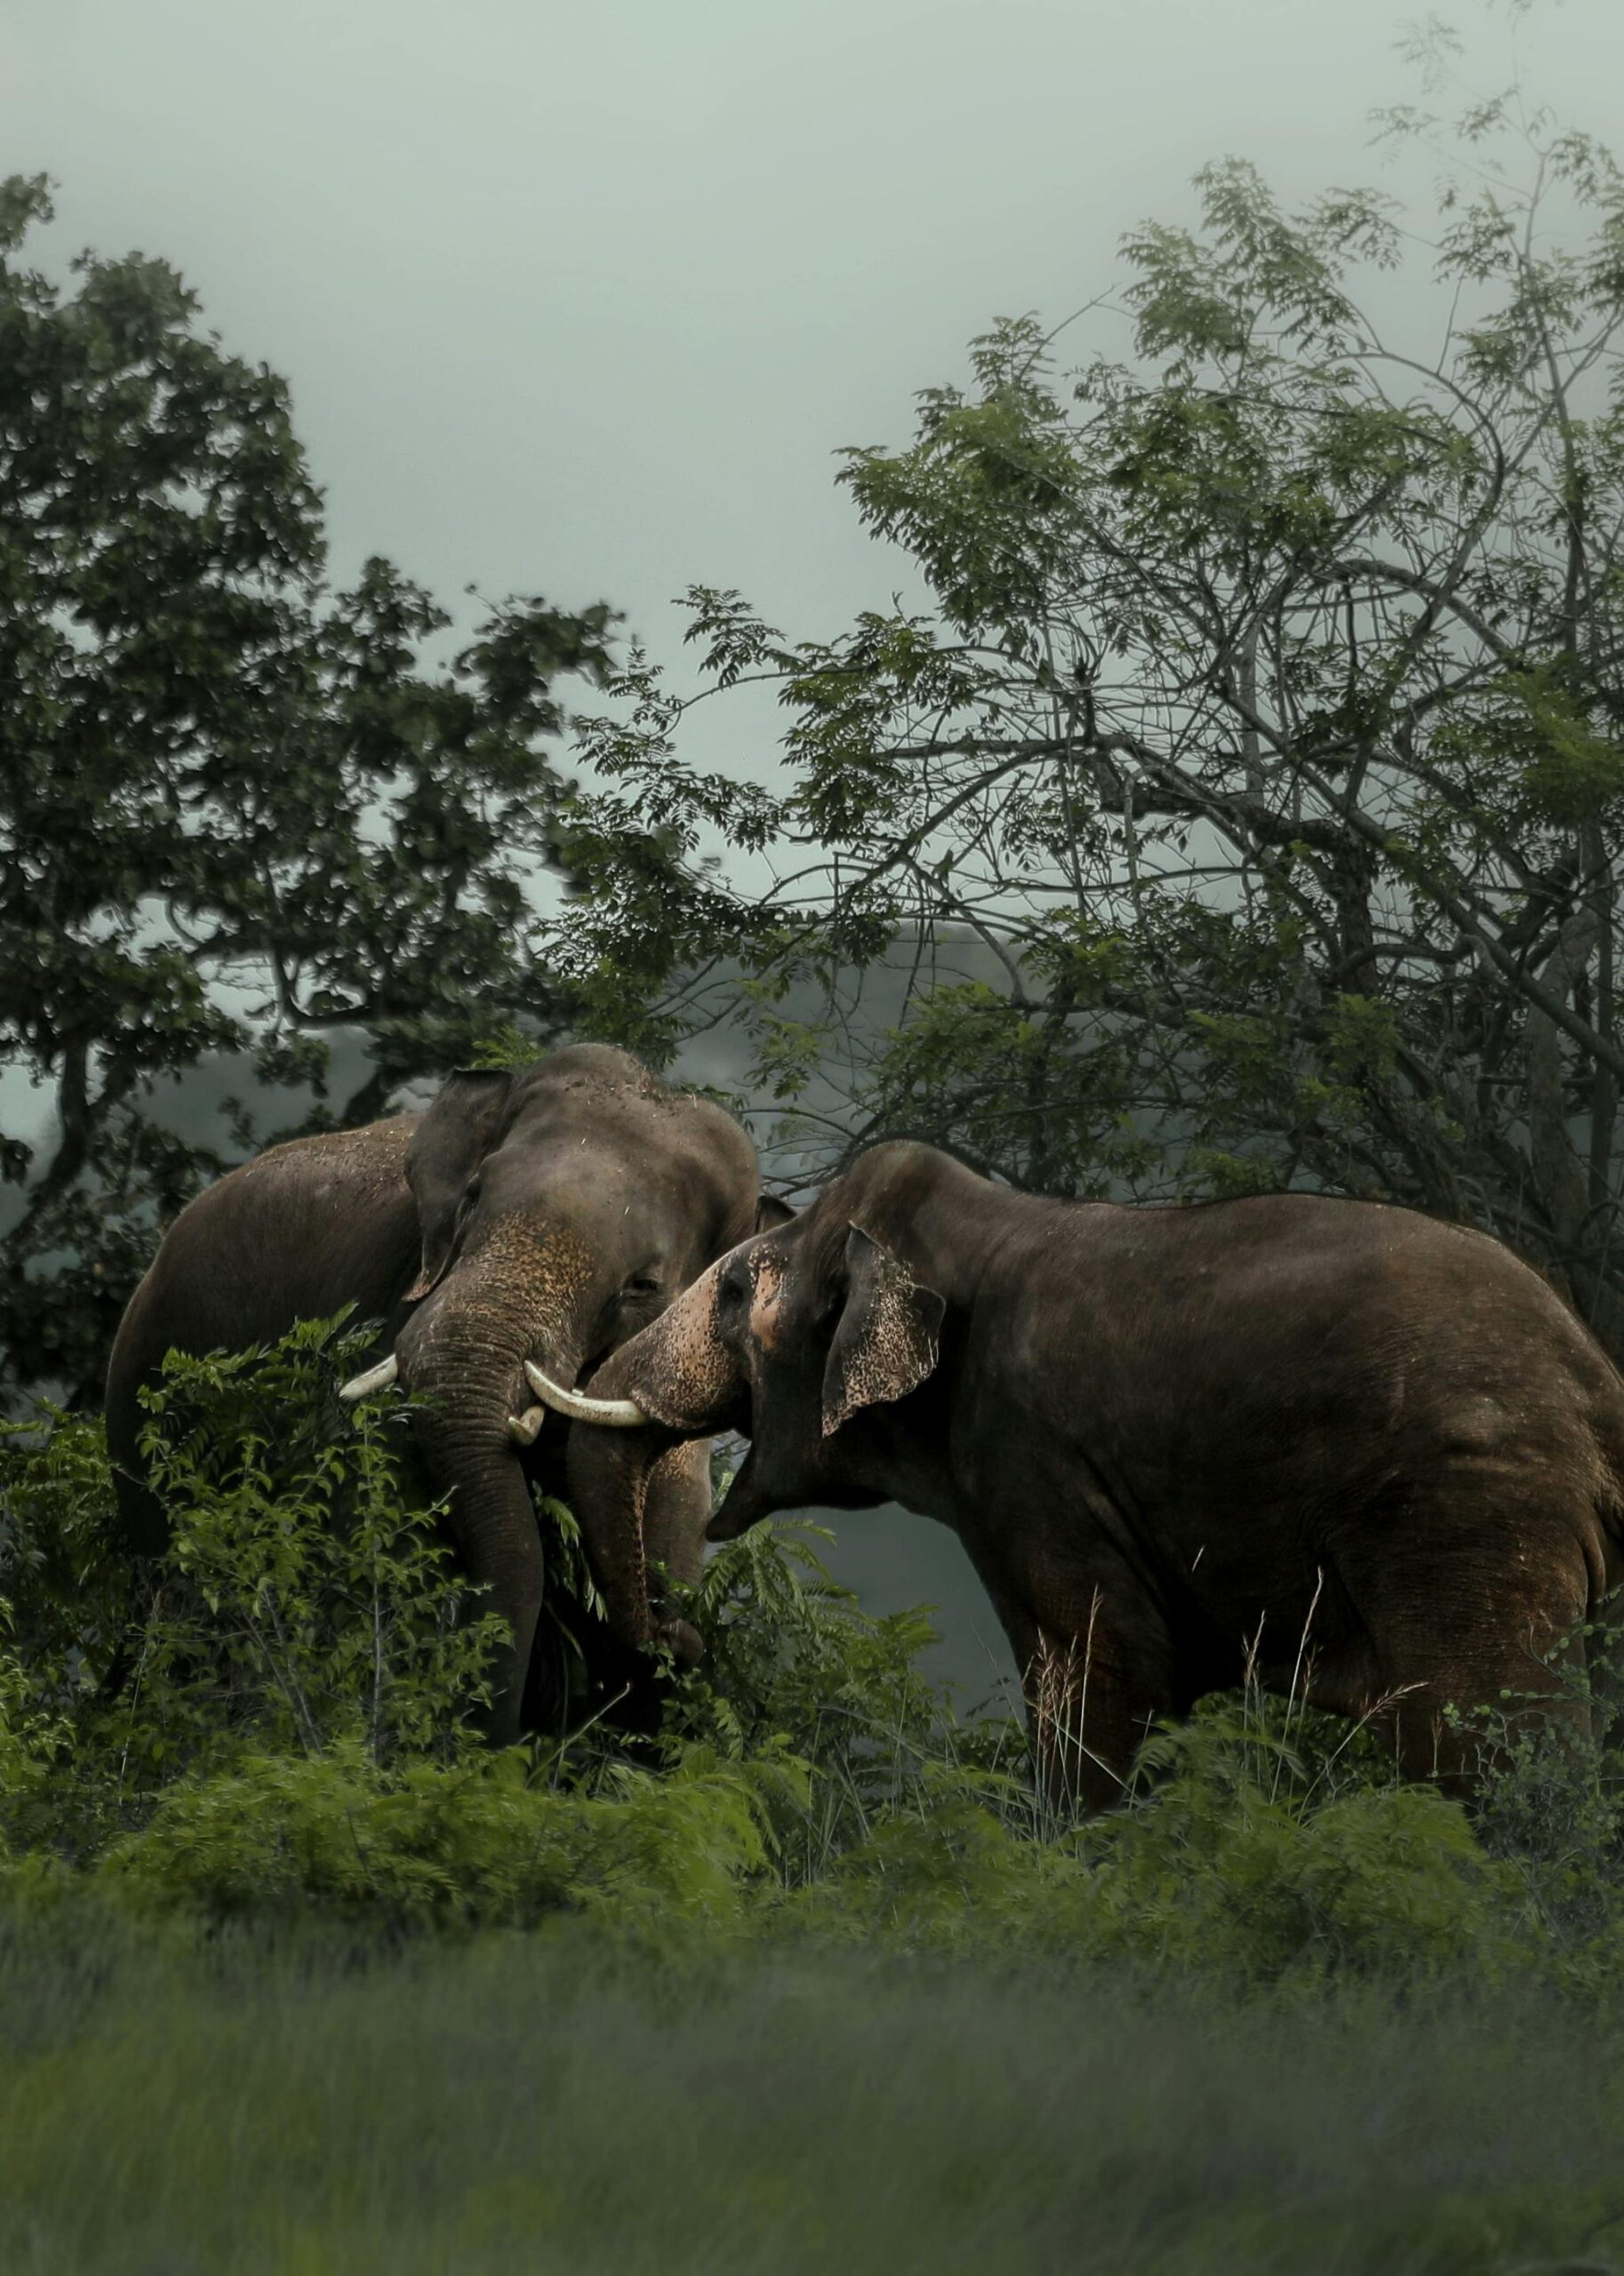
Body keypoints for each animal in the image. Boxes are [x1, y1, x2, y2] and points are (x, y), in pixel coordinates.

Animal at [536, 1138, 1624, 1810]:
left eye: (729, 1293)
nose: (678, 1634)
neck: (970, 1228)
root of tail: (1593, 1373)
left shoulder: (1032, 1463)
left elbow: (1102, 1673)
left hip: (1462, 1509)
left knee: (1491, 1745)